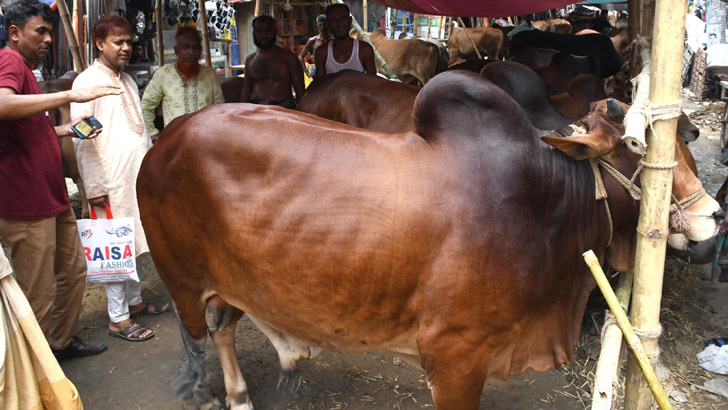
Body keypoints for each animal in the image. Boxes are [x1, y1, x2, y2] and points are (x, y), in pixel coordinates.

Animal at [135, 72, 716, 410]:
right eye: (638, 146)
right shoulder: (457, 355)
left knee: (225, 326)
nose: (712, 216)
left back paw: (252, 384)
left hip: (239, 275)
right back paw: (213, 392)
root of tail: (166, 139)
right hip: (182, 277)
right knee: (197, 337)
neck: (544, 200)